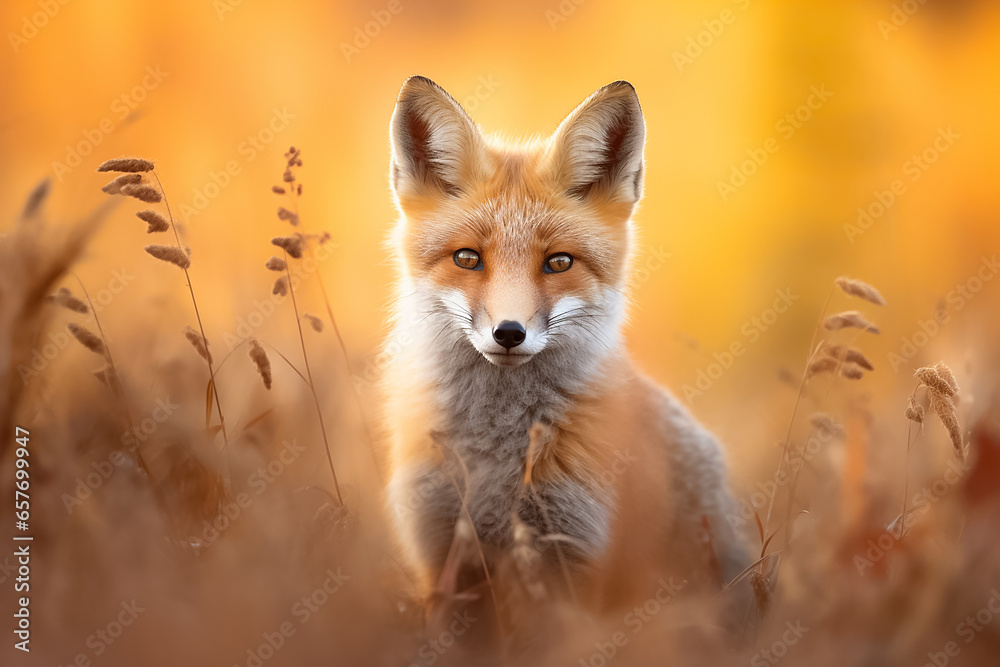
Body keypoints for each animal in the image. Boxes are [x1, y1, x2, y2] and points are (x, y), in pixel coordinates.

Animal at [382, 75, 750, 613]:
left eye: (558, 263)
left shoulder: (576, 558)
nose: (509, 333)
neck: (496, 456)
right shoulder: (442, 557)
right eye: (467, 258)